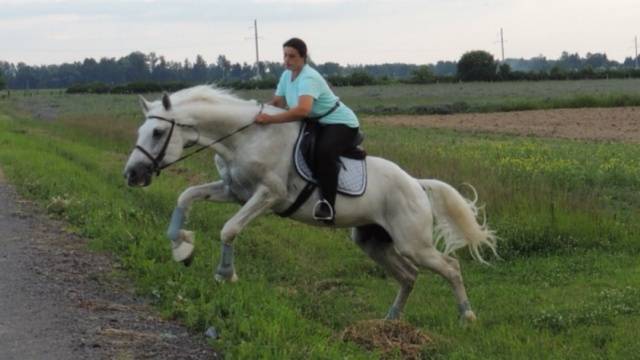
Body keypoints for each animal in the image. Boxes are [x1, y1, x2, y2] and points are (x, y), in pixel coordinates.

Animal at [122, 86, 498, 322]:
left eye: (157, 133)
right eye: (141, 132)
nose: (132, 174)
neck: (246, 138)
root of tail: (417, 184)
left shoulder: (267, 195)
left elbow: (229, 229)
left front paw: (225, 274)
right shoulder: (234, 191)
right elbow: (185, 197)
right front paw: (181, 248)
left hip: (412, 242)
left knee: (450, 266)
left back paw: (467, 315)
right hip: (372, 241)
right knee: (409, 275)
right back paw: (391, 321)